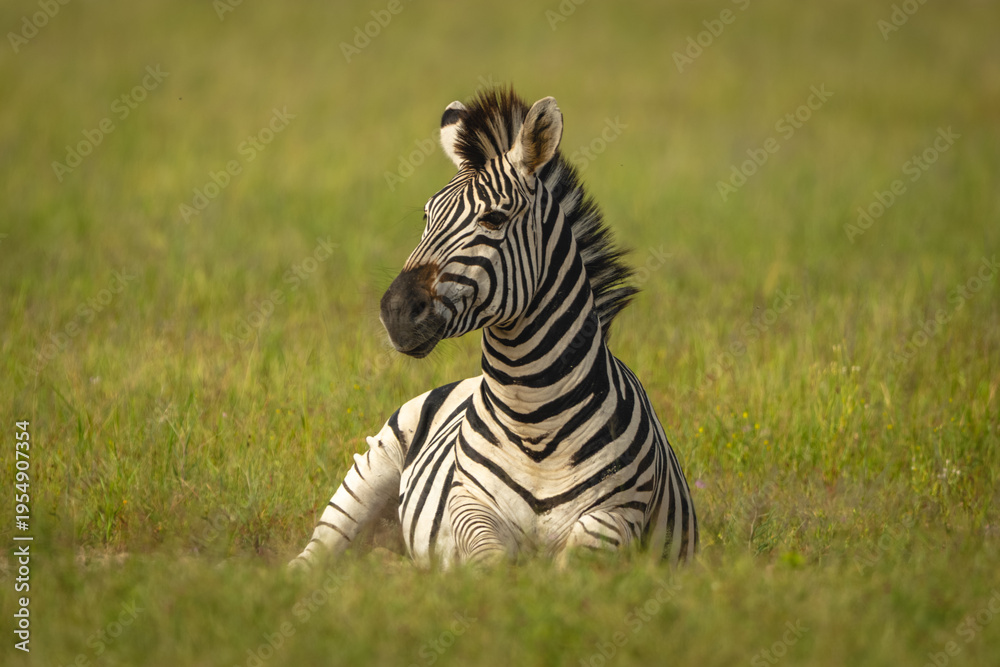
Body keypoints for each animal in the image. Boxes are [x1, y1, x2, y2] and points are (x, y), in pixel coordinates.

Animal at [291, 87, 697, 570]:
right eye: (427, 218)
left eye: (494, 220)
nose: (395, 311)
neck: (534, 420)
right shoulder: (469, 506)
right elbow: (493, 563)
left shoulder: (617, 512)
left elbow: (575, 567)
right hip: (371, 470)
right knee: (316, 553)